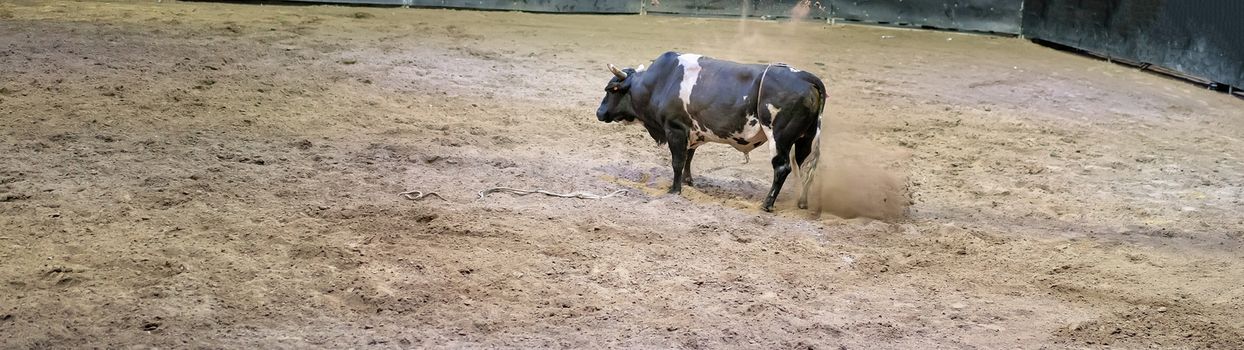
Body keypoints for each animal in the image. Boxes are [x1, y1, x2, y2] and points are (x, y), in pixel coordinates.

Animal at [599, 50, 826, 211]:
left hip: (780, 138)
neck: (659, 83)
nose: (599, 112)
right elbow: (689, 157)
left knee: (782, 168)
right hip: (806, 138)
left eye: (611, 90)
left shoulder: (675, 129)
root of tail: (806, 77)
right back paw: (802, 202)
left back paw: (767, 204)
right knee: (805, 167)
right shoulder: (691, 132)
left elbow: (677, 161)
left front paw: (674, 189)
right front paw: (688, 182)